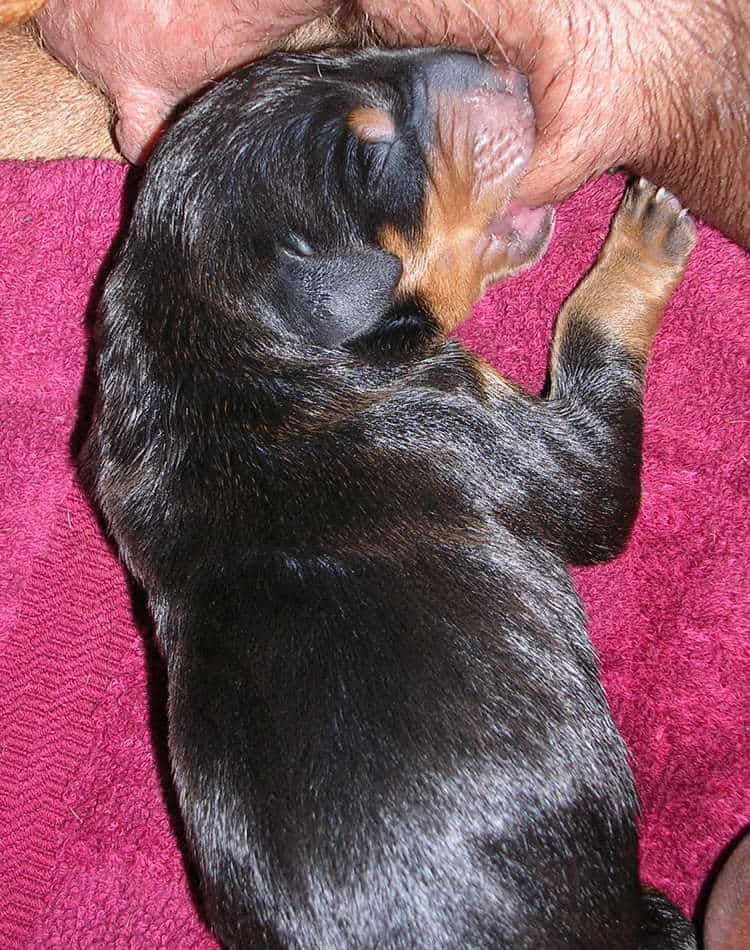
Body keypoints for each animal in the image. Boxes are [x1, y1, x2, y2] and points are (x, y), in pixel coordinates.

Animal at [86, 46, 700, 950]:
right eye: (371, 154)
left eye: (339, 50)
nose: (504, 67)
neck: (214, 335)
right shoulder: (493, 425)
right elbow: (592, 363)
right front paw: (642, 239)